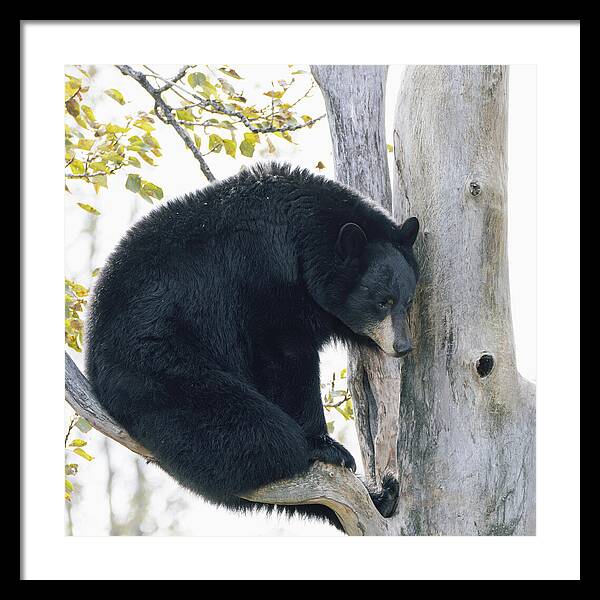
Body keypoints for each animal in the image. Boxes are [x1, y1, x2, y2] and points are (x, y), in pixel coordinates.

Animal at [86, 161, 420, 528]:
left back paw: (382, 496)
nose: (402, 346)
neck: (302, 240)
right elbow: (284, 358)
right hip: (159, 364)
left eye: (407, 301)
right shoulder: (263, 279)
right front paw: (324, 442)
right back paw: (305, 450)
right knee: (253, 430)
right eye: (383, 302)